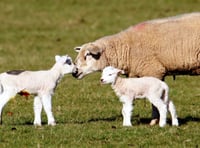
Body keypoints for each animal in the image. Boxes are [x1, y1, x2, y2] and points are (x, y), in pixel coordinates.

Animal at [72, 12, 200, 125]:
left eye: (88, 55)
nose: (74, 72)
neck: (126, 48)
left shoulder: (154, 71)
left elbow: (154, 103)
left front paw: (154, 121)